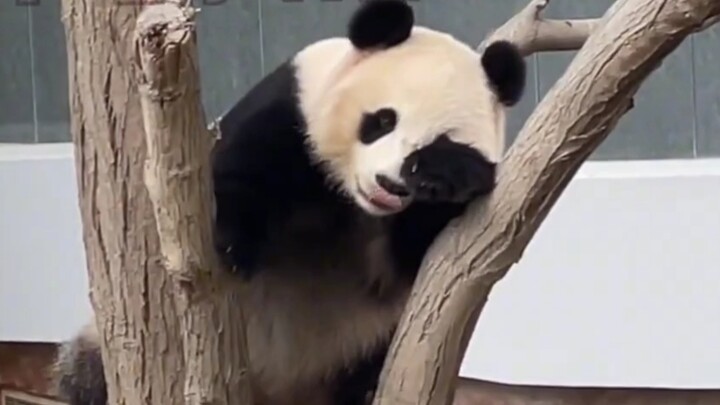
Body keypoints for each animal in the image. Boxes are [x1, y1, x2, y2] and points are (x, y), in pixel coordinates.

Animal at [54, 1, 526, 404]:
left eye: (436, 145)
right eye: (381, 121)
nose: (389, 185)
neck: (348, 197)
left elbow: (414, 261)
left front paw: (447, 175)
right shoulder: (291, 112)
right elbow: (236, 176)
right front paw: (232, 244)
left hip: (354, 345)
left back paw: (363, 390)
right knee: (84, 372)